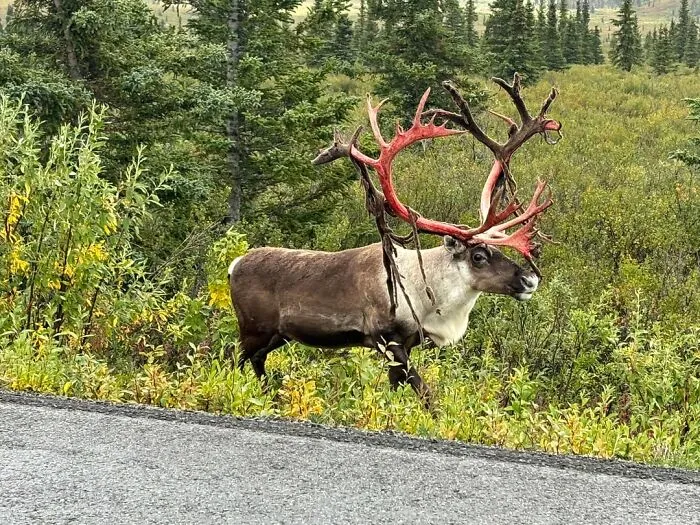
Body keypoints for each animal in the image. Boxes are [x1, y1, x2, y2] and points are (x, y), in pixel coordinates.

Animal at [229, 74, 562, 408]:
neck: (429, 296)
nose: (530, 279)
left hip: (276, 334)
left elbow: (399, 388)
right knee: (233, 359)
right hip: (254, 328)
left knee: (255, 362)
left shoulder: (407, 343)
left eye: (495, 248)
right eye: (478, 256)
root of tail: (234, 264)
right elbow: (425, 393)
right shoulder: (387, 339)